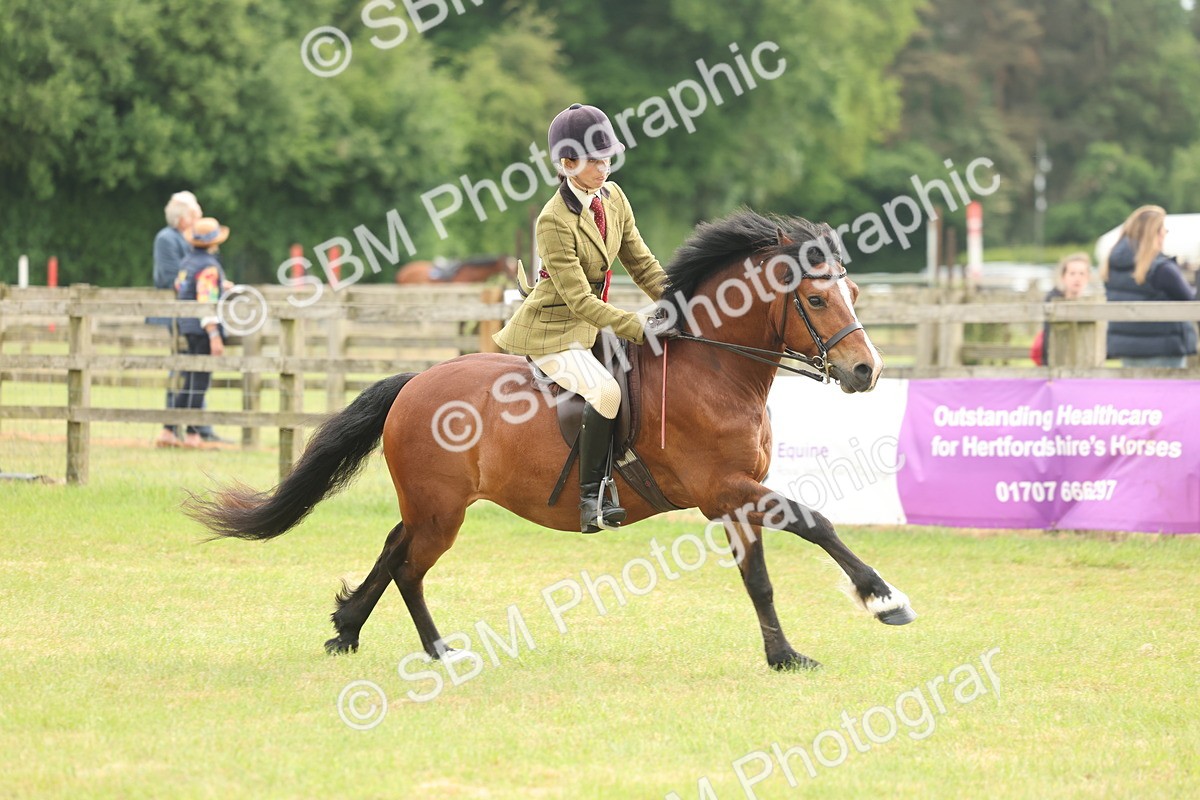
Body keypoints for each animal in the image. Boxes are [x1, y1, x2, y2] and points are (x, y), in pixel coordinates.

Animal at [187, 211, 915, 671]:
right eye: (817, 300)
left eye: (853, 290)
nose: (867, 371)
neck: (715, 371)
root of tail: (415, 381)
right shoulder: (724, 489)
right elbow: (815, 521)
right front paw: (884, 598)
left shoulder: (736, 498)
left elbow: (760, 577)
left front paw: (783, 655)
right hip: (441, 510)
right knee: (409, 568)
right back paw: (437, 651)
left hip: (431, 505)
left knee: (394, 549)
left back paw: (348, 630)